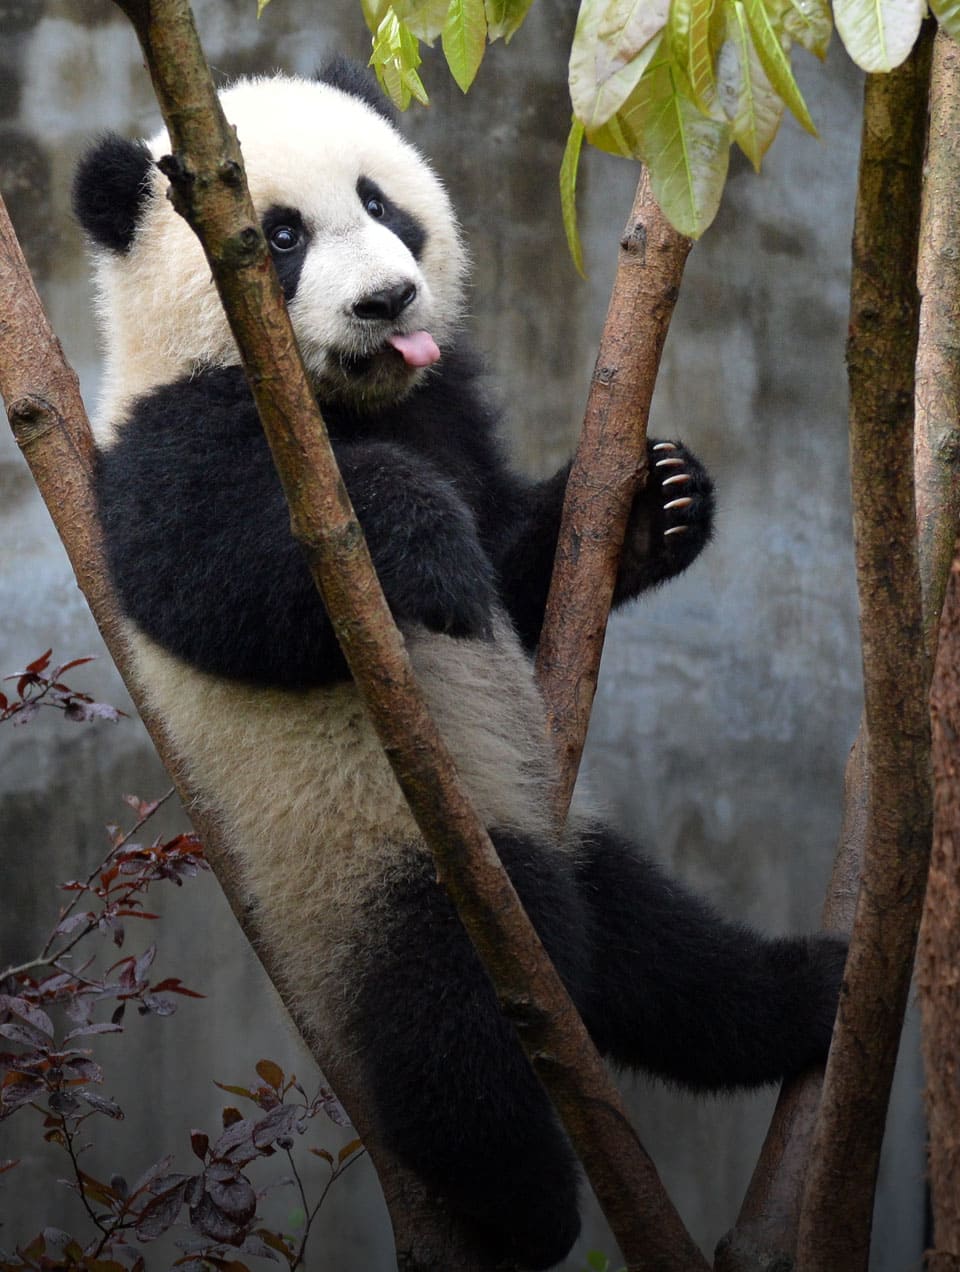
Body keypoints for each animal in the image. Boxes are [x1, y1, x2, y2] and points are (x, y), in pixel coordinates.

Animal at [73, 59, 845, 1271]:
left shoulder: (448, 409)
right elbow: (213, 577)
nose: (388, 303)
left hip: (551, 830)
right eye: (280, 236)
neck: (337, 402)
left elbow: (515, 572)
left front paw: (658, 504)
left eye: (381, 203)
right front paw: (418, 538)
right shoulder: (164, 440)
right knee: (453, 1027)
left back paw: (803, 993)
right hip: (375, 862)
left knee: (660, 959)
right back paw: (527, 1205)